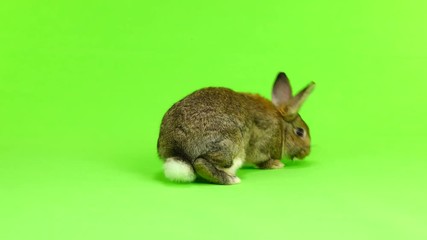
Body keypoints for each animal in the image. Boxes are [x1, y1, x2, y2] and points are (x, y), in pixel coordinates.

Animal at [157, 72, 314, 185]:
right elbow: (261, 160)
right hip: (231, 145)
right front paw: (276, 164)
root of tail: (178, 151)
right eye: (300, 132)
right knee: (200, 163)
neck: (281, 126)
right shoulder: (260, 145)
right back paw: (231, 180)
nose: (306, 152)